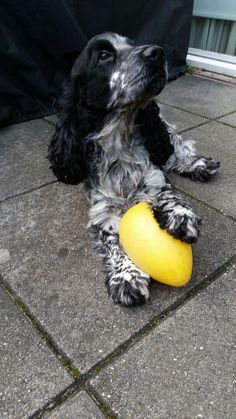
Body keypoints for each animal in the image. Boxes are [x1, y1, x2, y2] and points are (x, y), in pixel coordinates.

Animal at [48, 32, 219, 306]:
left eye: (132, 44)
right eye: (103, 55)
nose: (157, 52)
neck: (119, 140)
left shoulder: (155, 179)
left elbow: (169, 195)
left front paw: (181, 217)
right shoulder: (102, 210)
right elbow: (112, 240)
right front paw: (126, 276)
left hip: (167, 133)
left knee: (179, 149)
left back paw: (198, 165)